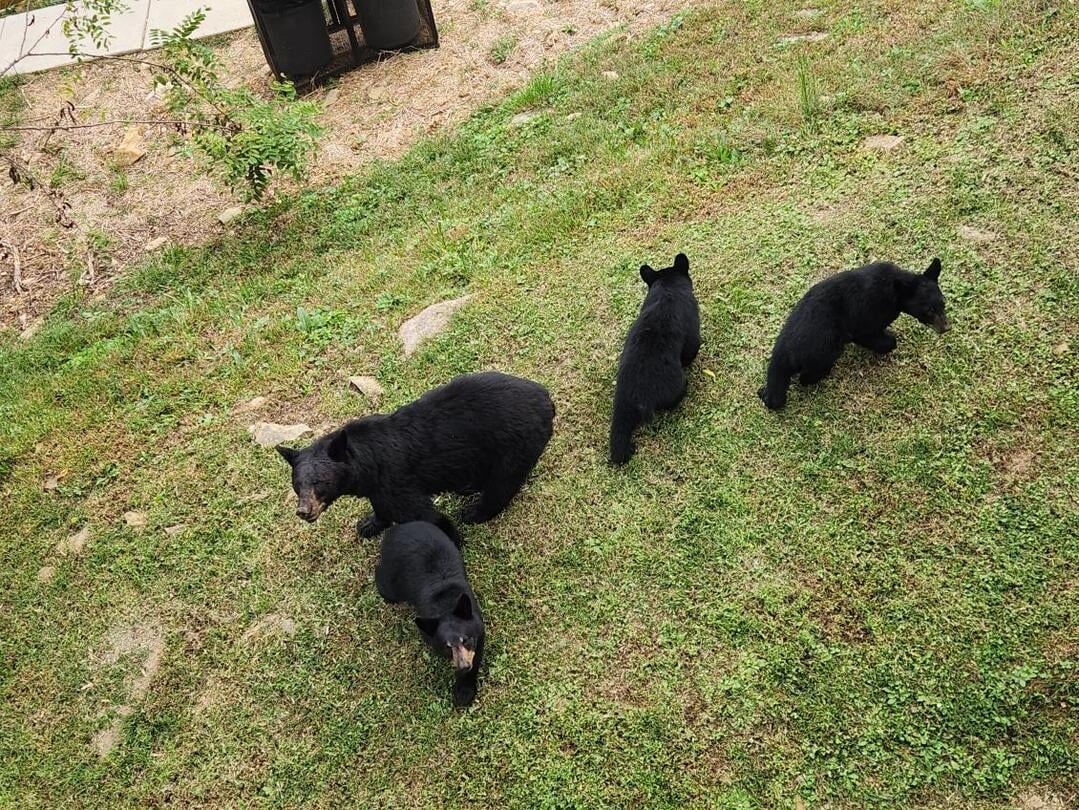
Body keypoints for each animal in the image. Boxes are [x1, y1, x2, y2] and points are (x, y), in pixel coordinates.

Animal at [276, 371, 554, 540]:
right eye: (296, 485)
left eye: (320, 482)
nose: (303, 510)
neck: (367, 463)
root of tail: (547, 398)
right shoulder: (377, 486)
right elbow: (380, 506)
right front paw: (368, 524)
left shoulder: (395, 481)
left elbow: (425, 515)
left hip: (513, 444)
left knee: (502, 483)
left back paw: (474, 512)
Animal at [374, 520, 485, 708]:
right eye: (447, 647)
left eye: (466, 639)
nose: (463, 666)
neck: (446, 606)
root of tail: (396, 529)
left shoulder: (477, 621)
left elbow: (477, 651)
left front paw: (464, 691)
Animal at [758, 258, 950, 410]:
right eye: (928, 311)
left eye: (943, 303)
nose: (946, 327)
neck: (897, 288)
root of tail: (785, 352)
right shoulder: (871, 309)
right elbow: (869, 334)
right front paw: (887, 340)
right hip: (823, 349)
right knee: (809, 374)